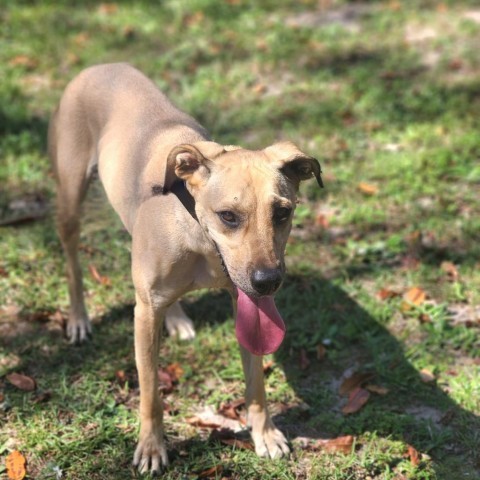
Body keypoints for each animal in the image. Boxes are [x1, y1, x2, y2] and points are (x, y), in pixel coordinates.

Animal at [48, 62, 322, 472]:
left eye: (283, 213)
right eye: (228, 216)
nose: (268, 282)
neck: (198, 238)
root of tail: (100, 66)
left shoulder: (244, 305)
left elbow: (256, 383)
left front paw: (265, 434)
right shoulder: (144, 315)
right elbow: (150, 394)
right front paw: (151, 447)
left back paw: (176, 318)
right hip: (70, 198)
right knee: (73, 262)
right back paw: (80, 318)